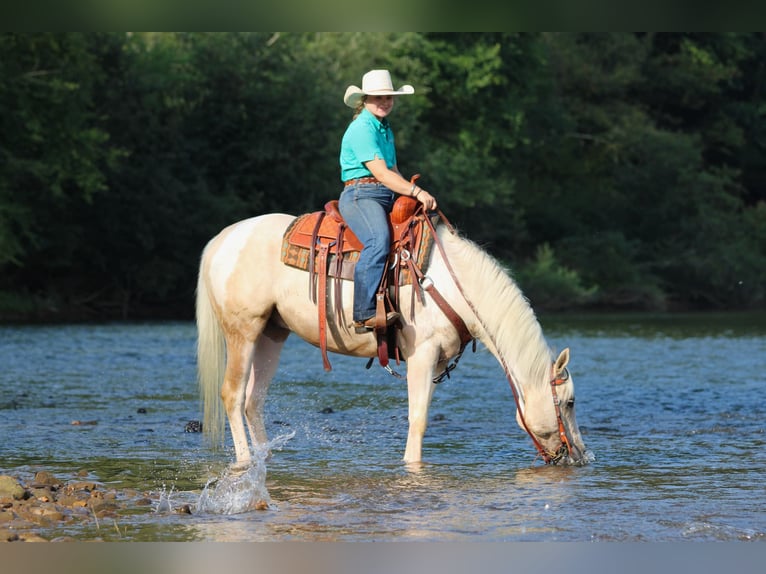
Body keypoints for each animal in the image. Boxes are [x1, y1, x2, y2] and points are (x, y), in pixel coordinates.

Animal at [195, 210, 590, 468]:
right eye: (569, 402)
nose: (580, 456)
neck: (451, 286)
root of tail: (221, 239)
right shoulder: (422, 354)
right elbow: (418, 419)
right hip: (243, 331)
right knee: (232, 395)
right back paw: (246, 461)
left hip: (271, 334)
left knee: (253, 401)